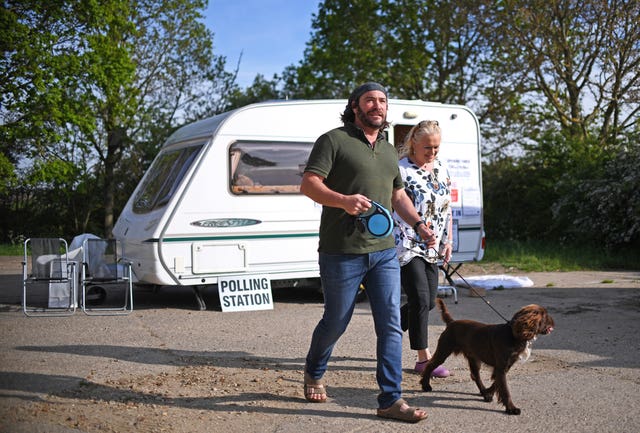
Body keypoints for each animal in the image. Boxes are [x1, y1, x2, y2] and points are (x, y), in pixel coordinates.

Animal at [422, 296, 552, 412]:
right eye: (545, 316)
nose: (553, 323)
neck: (513, 334)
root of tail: (451, 322)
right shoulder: (501, 367)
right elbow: (504, 389)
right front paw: (511, 408)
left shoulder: (505, 366)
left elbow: (497, 383)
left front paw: (488, 392)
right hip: (444, 350)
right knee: (429, 365)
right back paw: (425, 386)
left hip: (474, 358)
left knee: (475, 375)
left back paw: (484, 392)